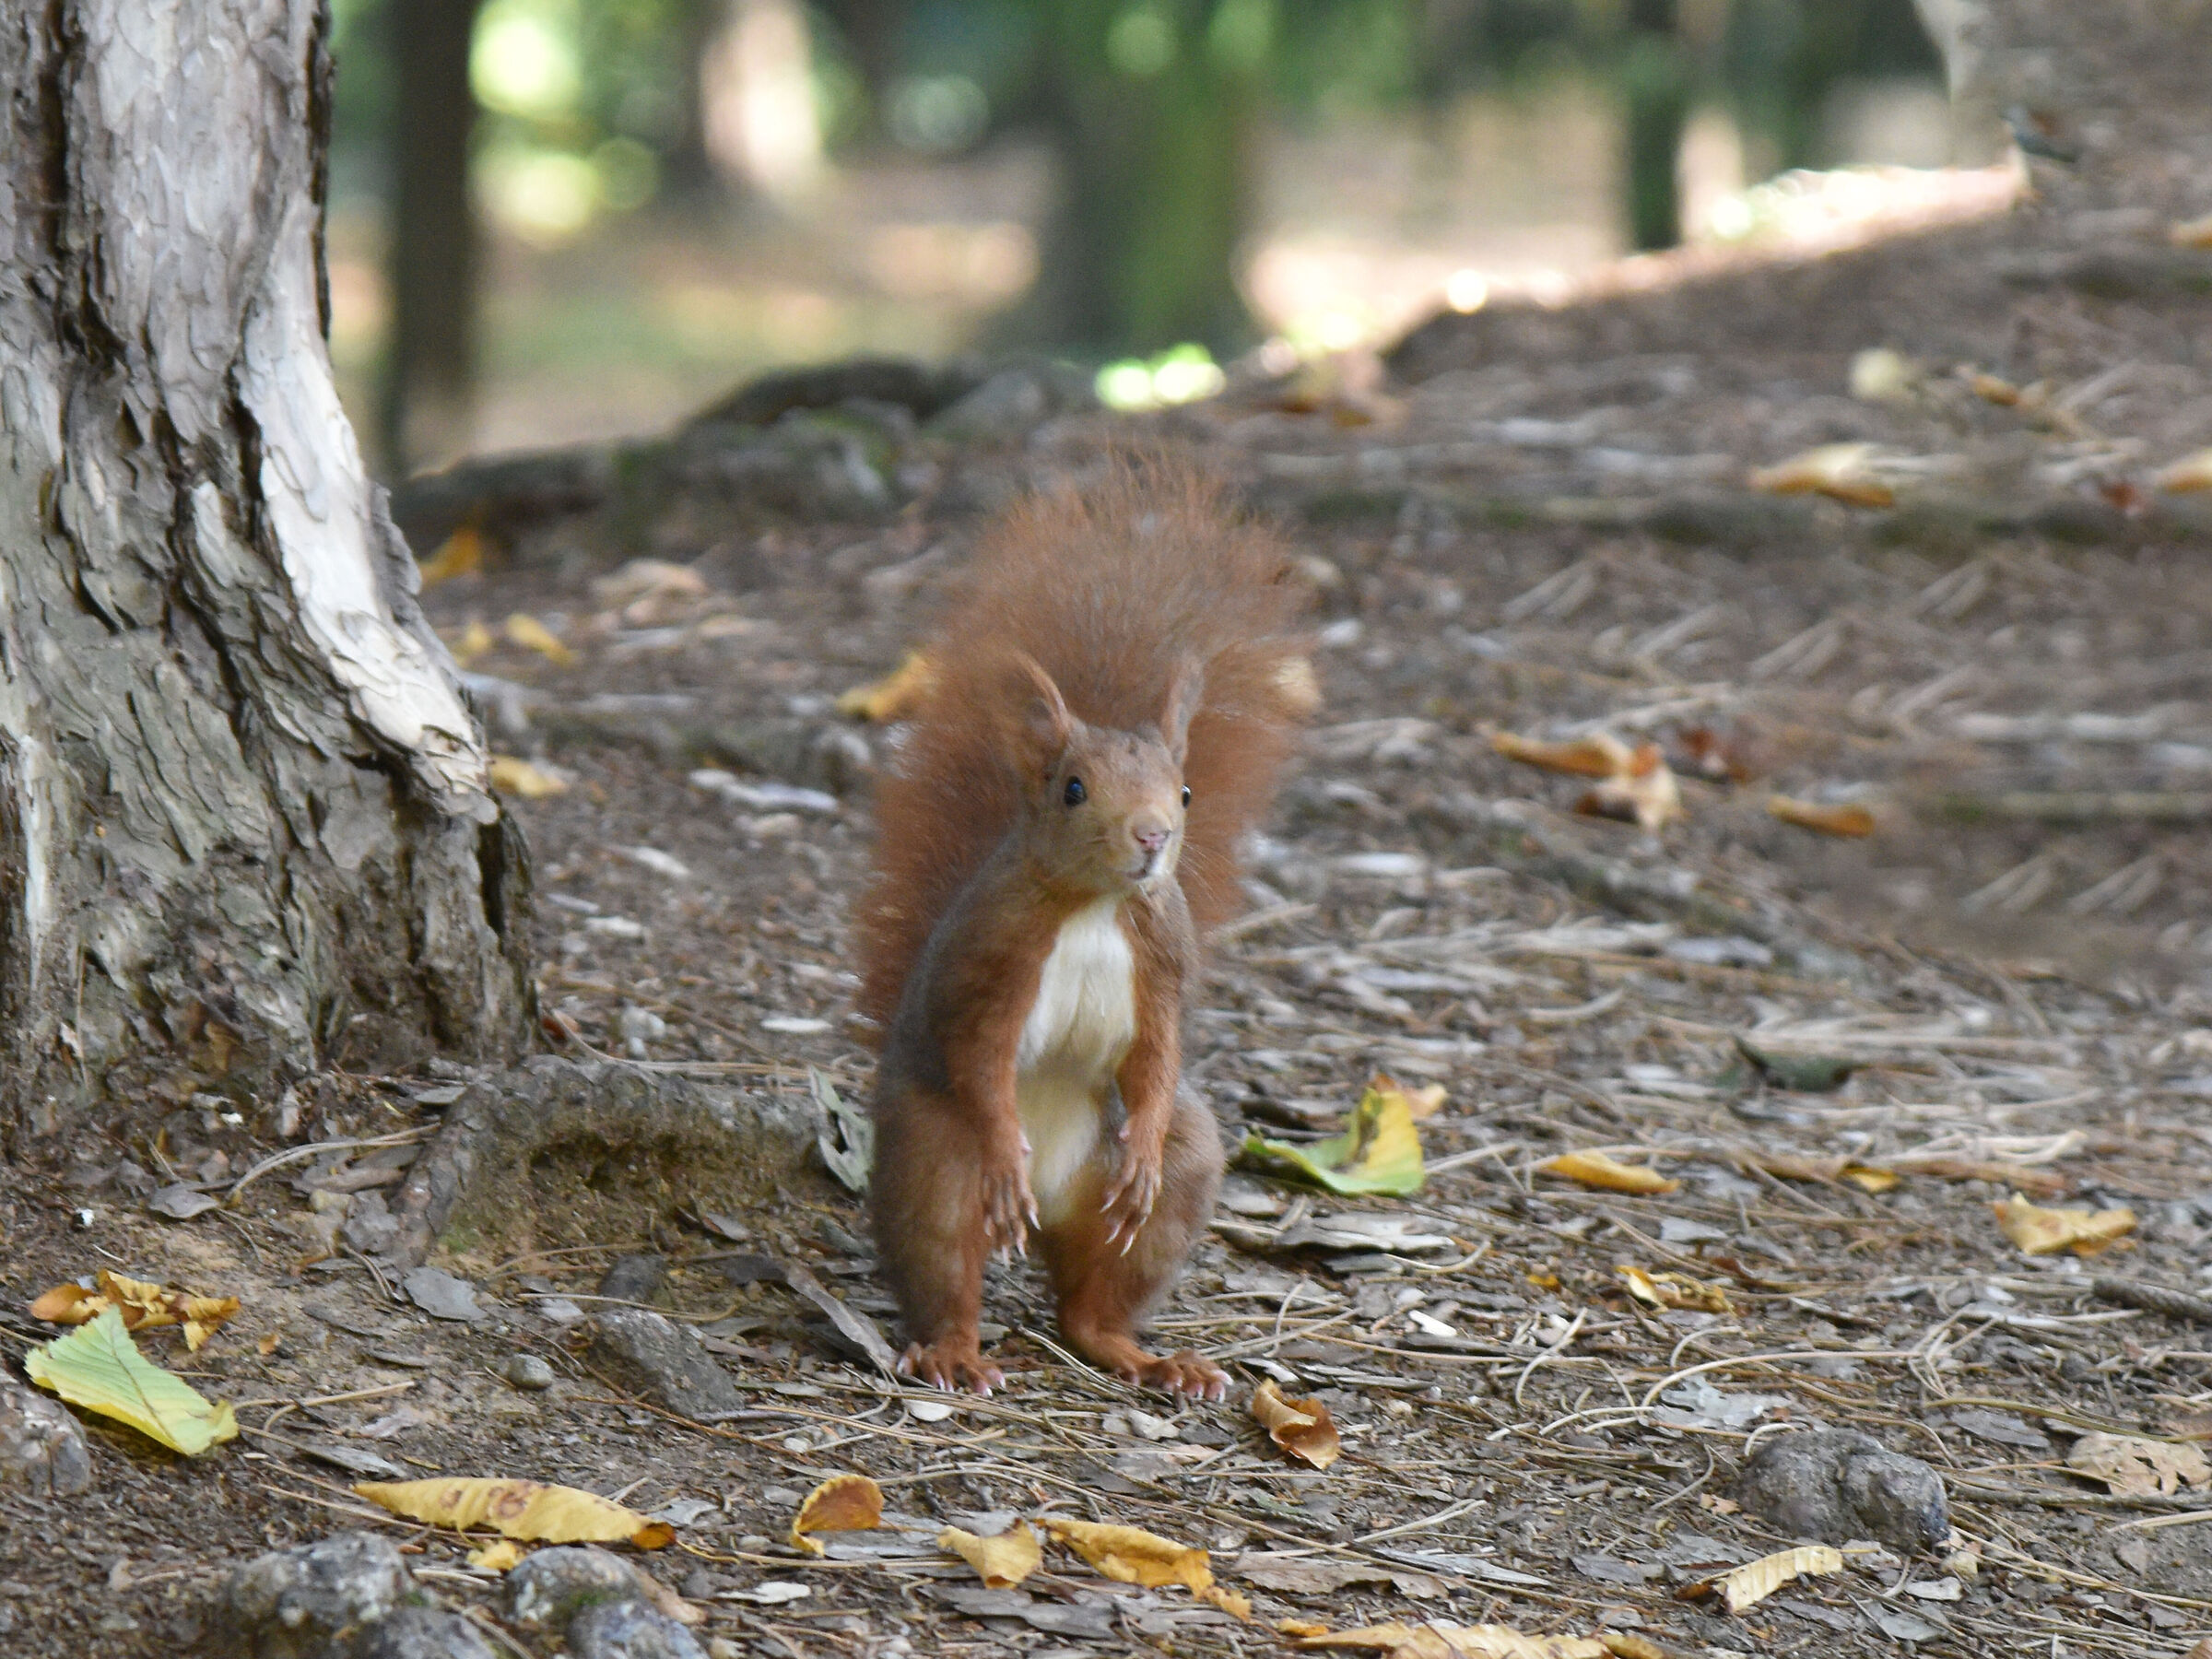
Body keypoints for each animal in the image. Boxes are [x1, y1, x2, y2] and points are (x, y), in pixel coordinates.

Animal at [856, 459, 1315, 1397]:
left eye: (1185, 792)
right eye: (1073, 789)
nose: (1152, 837)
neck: (1097, 906)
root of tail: (1054, 1212)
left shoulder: (1165, 962)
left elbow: (1159, 1054)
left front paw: (1142, 1145)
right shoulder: (991, 963)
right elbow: (981, 1054)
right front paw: (1006, 1146)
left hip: (1172, 1185)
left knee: (1092, 1305)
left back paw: (1150, 1356)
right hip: (933, 1162)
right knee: (946, 1262)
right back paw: (954, 1349)